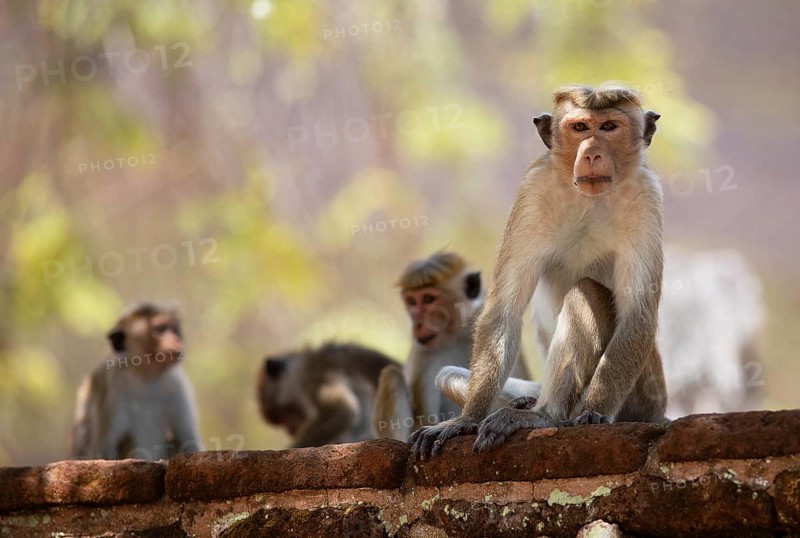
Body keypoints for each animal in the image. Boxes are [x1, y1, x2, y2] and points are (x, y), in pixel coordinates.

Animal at [69, 303, 203, 460]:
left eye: (175, 329)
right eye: (160, 329)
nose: (177, 339)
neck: (144, 377)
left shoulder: (175, 384)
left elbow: (188, 440)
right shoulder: (111, 386)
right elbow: (102, 449)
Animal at [373, 251, 532, 440]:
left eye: (428, 299)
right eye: (411, 301)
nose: (417, 324)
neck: (456, 333)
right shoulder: (423, 353)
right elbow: (425, 418)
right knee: (392, 375)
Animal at [411, 83, 667, 458]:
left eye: (608, 127)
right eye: (580, 128)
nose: (591, 154)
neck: (587, 198)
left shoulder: (647, 195)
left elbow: (638, 313)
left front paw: (595, 412)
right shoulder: (533, 189)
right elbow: (504, 308)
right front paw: (466, 419)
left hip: (644, 393)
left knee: (586, 293)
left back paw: (546, 415)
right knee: (448, 375)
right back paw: (521, 406)